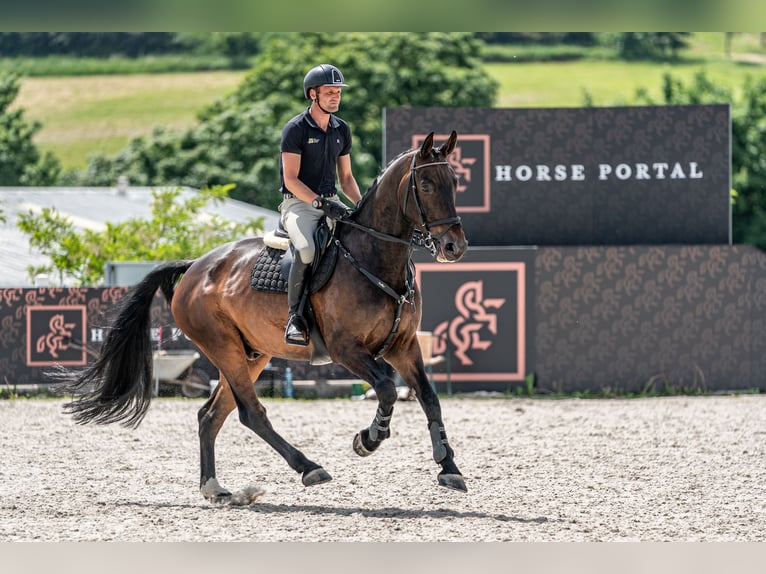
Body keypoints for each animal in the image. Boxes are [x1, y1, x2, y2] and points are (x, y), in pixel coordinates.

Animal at [59, 130, 469, 502]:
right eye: (426, 184)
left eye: (455, 182)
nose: (454, 246)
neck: (374, 259)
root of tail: (194, 267)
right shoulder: (346, 349)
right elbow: (385, 388)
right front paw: (368, 440)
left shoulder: (404, 345)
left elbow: (429, 397)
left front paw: (449, 468)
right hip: (224, 347)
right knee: (250, 412)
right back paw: (309, 468)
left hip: (252, 355)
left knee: (211, 415)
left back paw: (216, 488)